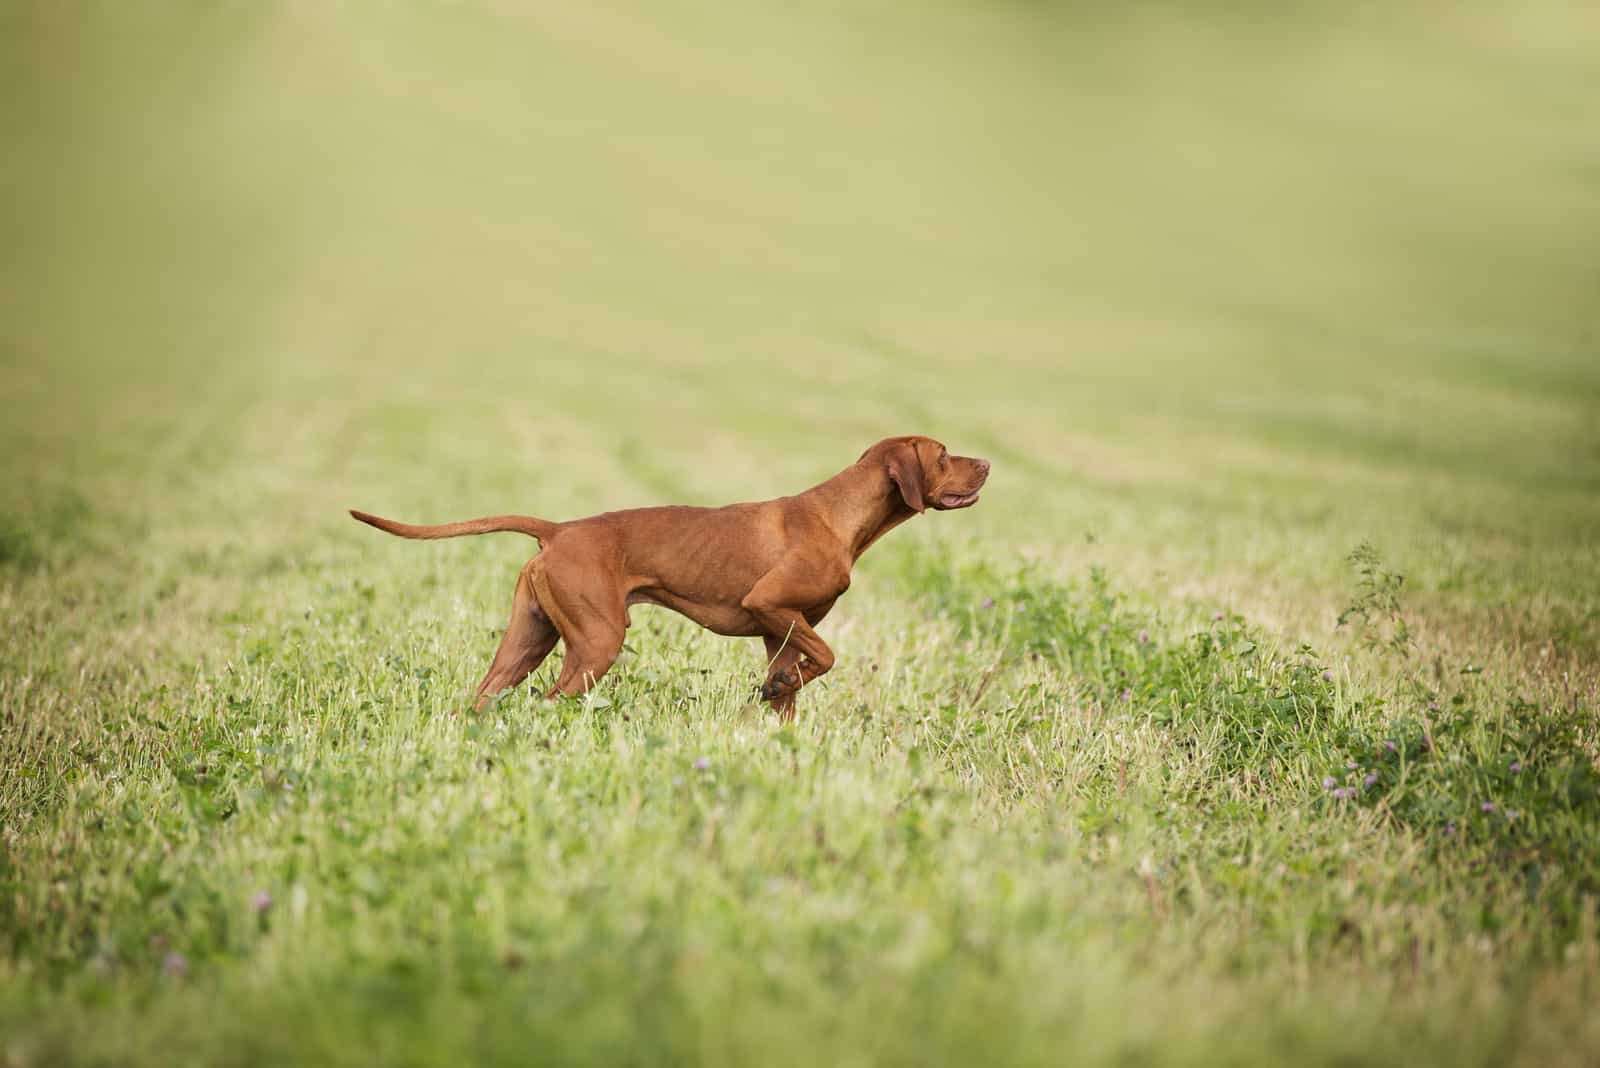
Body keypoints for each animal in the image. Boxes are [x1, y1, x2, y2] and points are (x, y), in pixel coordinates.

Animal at [350, 434, 985, 716]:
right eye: (944, 455)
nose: (986, 463)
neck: (839, 516)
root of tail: (559, 530)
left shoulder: (779, 634)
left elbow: (790, 687)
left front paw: (778, 707)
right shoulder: (770, 605)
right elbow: (827, 657)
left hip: (526, 640)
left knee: (484, 698)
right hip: (596, 643)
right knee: (549, 702)